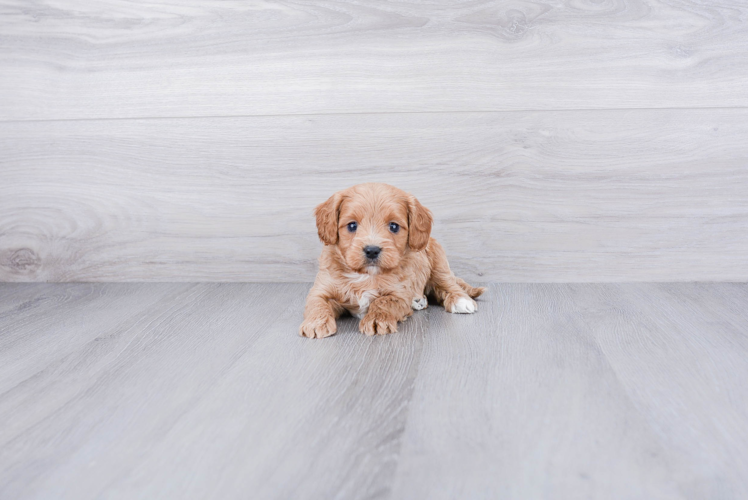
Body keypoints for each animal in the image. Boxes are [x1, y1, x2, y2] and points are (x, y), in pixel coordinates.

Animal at [300, 182, 488, 338]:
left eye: (394, 226)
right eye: (352, 225)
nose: (372, 250)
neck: (366, 276)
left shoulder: (399, 294)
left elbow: (383, 301)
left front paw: (376, 320)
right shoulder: (321, 288)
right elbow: (317, 303)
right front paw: (316, 323)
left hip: (438, 260)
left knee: (448, 283)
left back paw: (460, 300)